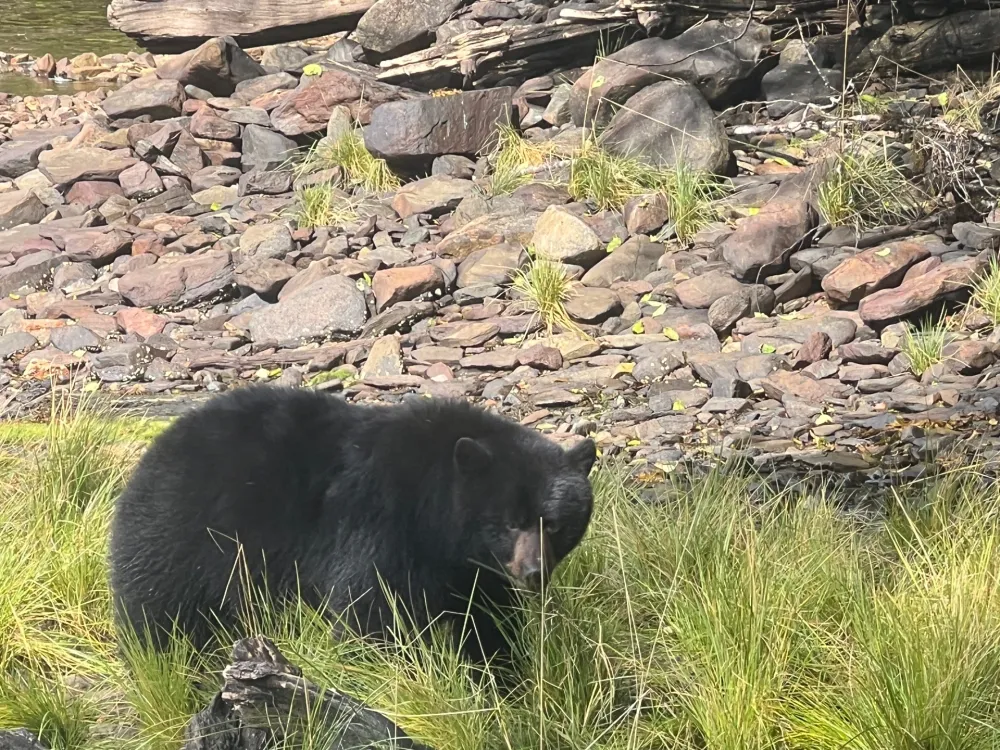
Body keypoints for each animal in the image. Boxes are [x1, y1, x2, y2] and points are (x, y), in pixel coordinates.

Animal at [108, 386, 596, 667]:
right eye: (508, 523)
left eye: (554, 524)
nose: (534, 573)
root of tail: (155, 451)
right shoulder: (380, 523)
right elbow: (371, 609)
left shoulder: (470, 569)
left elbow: (487, 620)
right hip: (183, 534)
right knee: (159, 614)